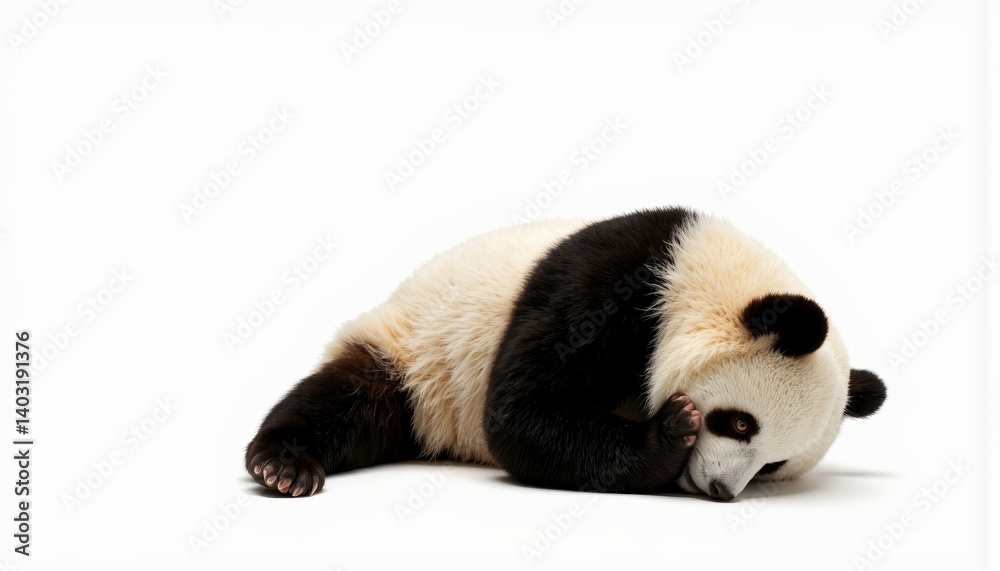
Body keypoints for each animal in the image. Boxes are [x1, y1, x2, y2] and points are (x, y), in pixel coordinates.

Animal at [245, 207, 886, 500]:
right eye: (740, 423)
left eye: (775, 465)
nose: (721, 491)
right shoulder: (615, 287)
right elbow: (520, 413)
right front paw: (670, 432)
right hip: (418, 358)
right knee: (350, 399)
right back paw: (284, 466)